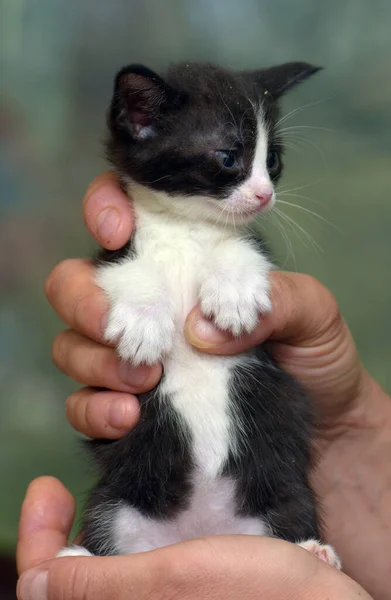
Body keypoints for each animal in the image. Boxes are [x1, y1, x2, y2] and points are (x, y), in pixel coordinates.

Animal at [57, 61, 340, 568]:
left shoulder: (249, 242)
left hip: (281, 490)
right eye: (228, 156)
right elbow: (123, 269)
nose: (265, 195)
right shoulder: (115, 248)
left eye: (273, 161)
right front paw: (143, 322)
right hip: (119, 503)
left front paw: (234, 294)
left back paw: (313, 550)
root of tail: (198, 531)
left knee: (288, 510)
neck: (186, 228)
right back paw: (81, 557)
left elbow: (244, 246)